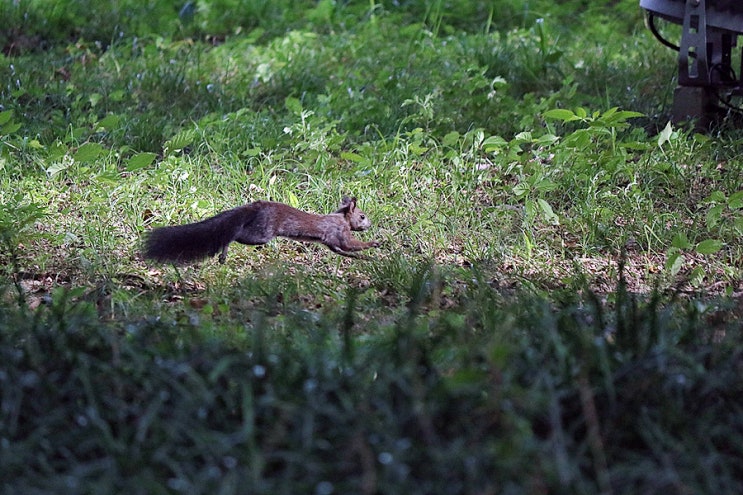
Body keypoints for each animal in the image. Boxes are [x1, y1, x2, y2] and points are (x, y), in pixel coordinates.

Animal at [143, 197, 380, 266]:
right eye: (362, 216)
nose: (369, 225)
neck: (341, 217)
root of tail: (255, 206)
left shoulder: (332, 241)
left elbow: (342, 251)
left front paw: (363, 257)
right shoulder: (338, 231)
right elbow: (349, 244)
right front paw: (374, 244)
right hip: (262, 234)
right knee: (236, 235)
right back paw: (224, 250)